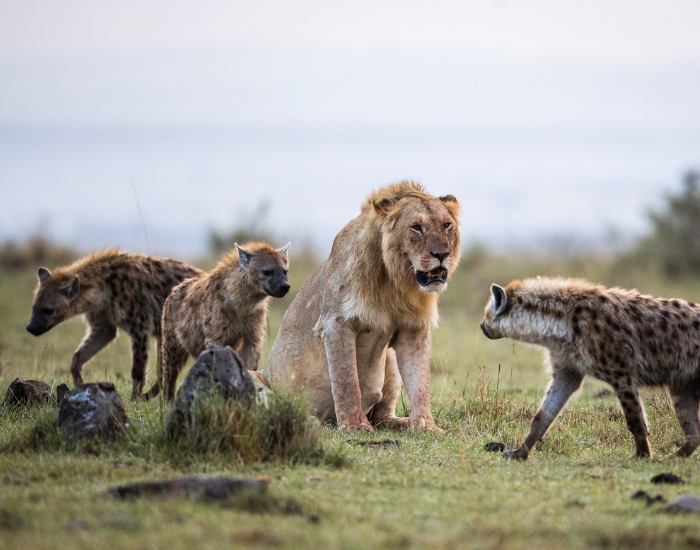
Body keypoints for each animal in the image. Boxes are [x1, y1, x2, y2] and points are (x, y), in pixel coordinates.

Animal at [260, 181, 461, 430]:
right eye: (416, 227)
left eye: (446, 225)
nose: (442, 254)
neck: (395, 281)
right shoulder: (336, 322)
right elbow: (347, 380)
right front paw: (354, 425)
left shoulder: (414, 327)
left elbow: (420, 382)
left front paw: (425, 426)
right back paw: (306, 419)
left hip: (389, 359)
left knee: (383, 417)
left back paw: (403, 423)